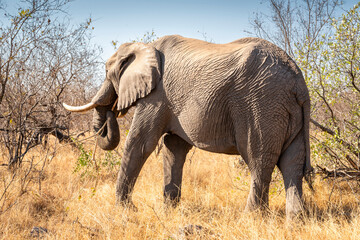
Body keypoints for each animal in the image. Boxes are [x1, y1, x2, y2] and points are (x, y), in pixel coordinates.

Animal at [64, 35, 312, 218]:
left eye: (107, 73)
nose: (113, 111)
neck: (144, 46)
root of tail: (298, 80)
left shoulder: (157, 96)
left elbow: (140, 143)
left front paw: (126, 210)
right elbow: (174, 148)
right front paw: (168, 211)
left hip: (261, 105)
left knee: (259, 160)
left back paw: (251, 218)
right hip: (284, 110)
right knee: (292, 162)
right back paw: (296, 220)